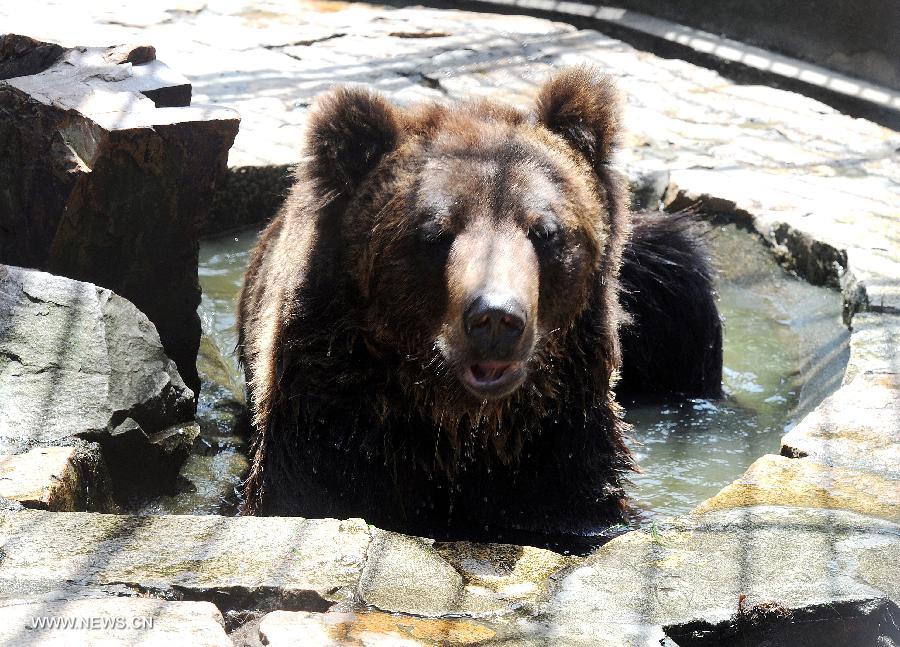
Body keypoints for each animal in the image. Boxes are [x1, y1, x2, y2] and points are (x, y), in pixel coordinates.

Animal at [236, 69, 720, 548]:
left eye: (545, 231)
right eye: (434, 232)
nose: (496, 318)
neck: (460, 421)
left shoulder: (559, 436)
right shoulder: (332, 416)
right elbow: (310, 492)